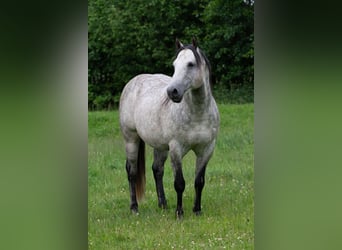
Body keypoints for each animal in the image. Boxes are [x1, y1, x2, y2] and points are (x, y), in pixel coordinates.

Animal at [118, 38, 219, 218]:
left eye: (191, 64)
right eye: (174, 65)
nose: (173, 92)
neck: (198, 114)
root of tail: (133, 82)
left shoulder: (206, 149)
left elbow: (199, 182)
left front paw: (197, 210)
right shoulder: (176, 149)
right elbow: (179, 183)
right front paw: (179, 213)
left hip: (160, 146)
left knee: (157, 170)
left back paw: (163, 204)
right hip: (131, 139)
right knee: (132, 172)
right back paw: (134, 207)